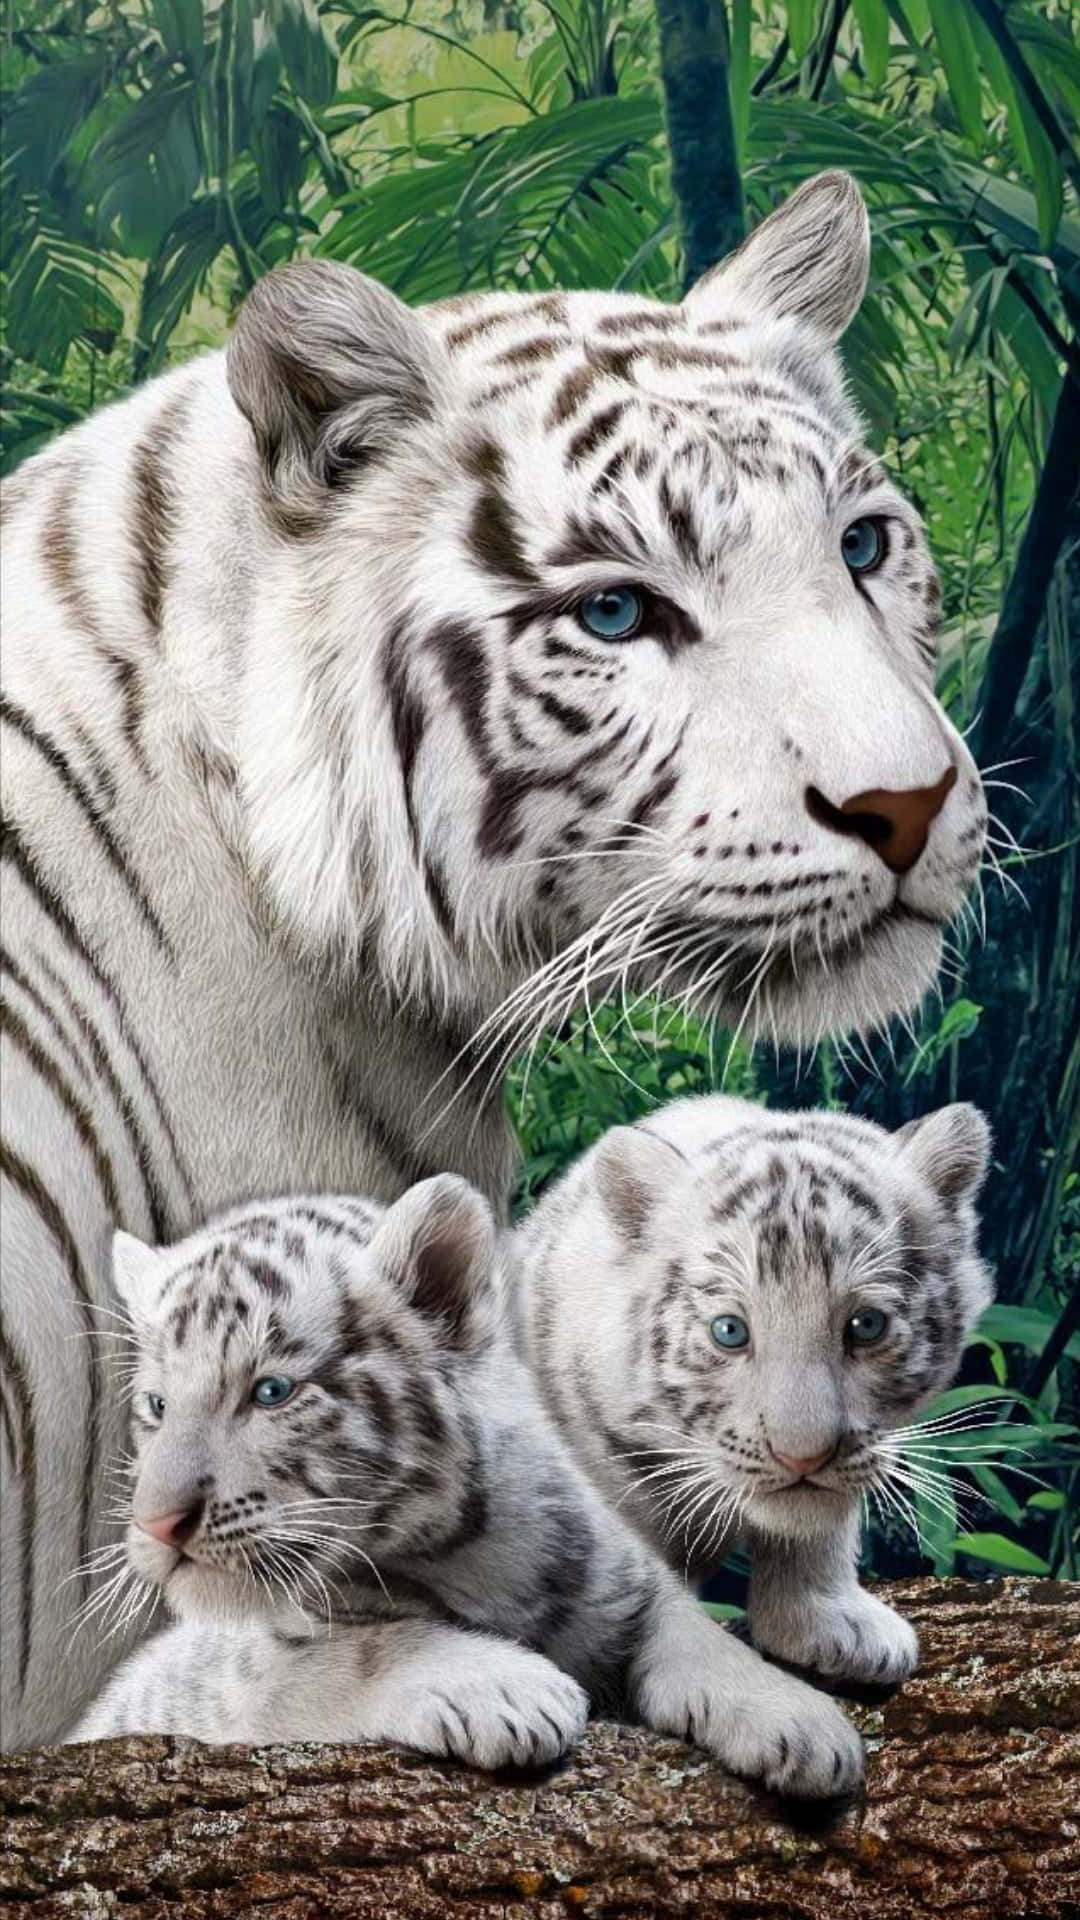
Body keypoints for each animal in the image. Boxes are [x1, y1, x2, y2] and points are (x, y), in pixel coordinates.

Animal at [70, 1176, 864, 1799]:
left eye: (271, 1392)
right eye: (157, 1406)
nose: (157, 1524)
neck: (463, 1553)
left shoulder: (625, 1579)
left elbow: (694, 1632)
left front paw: (805, 1725)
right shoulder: (238, 1675)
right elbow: (356, 1651)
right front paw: (512, 1691)